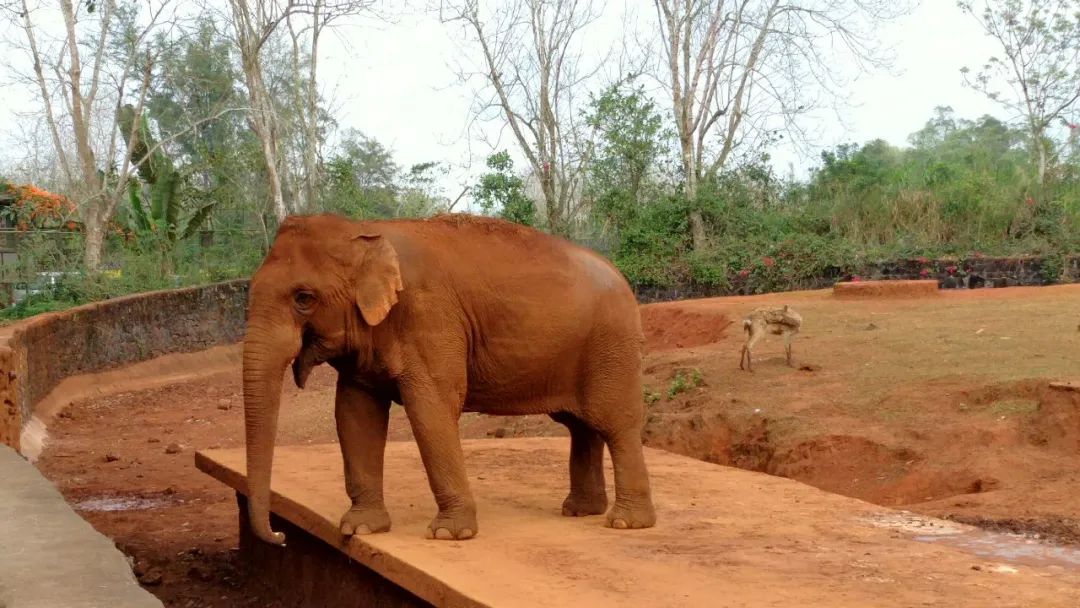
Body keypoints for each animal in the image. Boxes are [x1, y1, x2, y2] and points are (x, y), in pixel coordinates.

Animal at [240, 211, 652, 544]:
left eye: (303, 298)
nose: (280, 536)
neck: (365, 231)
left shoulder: (432, 318)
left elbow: (431, 409)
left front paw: (448, 534)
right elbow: (354, 414)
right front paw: (360, 528)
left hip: (612, 346)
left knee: (613, 424)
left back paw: (625, 523)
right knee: (581, 425)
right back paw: (581, 511)